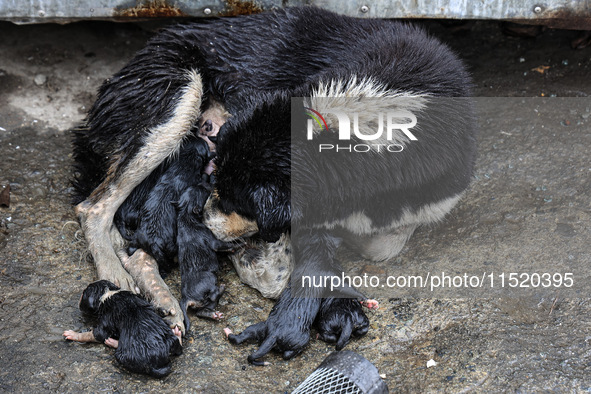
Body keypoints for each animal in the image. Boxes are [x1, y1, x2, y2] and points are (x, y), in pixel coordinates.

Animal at [176, 185, 238, 330]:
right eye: (202, 192)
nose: (203, 184)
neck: (186, 216)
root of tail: (186, 298)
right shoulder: (210, 237)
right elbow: (223, 244)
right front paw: (239, 245)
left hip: (203, 303)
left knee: (202, 311)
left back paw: (213, 314)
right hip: (210, 277)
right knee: (213, 294)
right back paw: (221, 288)